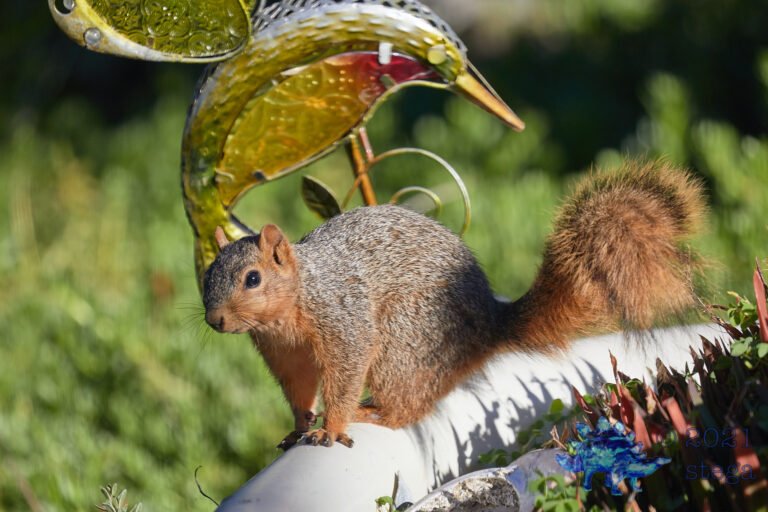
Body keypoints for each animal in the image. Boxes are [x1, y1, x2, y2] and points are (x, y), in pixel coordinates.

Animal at [202, 160, 705, 449]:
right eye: (205, 277)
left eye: (252, 278)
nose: (215, 320)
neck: (292, 307)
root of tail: (489, 326)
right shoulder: (284, 354)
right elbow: (298, 388)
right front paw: (300, 424)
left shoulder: (344, 322)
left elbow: (343, 377)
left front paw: (331, 425)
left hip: (404, 340)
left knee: (407, 410)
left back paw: (371, 414)